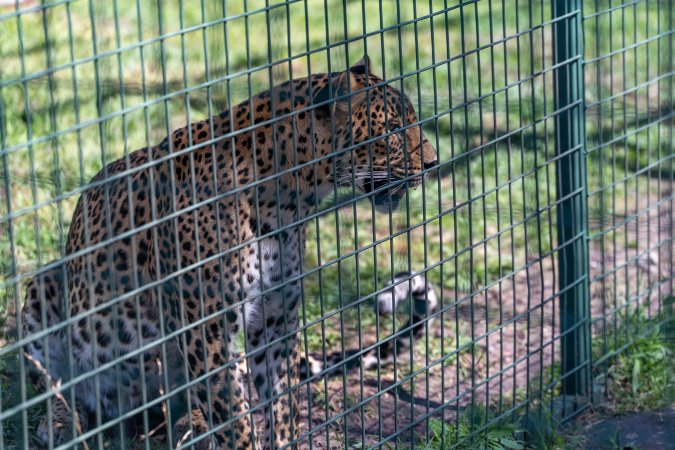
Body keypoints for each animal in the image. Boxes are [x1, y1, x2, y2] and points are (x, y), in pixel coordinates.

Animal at [20, 55, 437, 449]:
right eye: (394, 130)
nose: (434, 164)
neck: (288, 202)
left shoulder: (275, 319)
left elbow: (282, 403)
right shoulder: (208, 333)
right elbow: (234, 415)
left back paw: (191, 427)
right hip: (47, 286)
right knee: (56, 383)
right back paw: (61, 422)